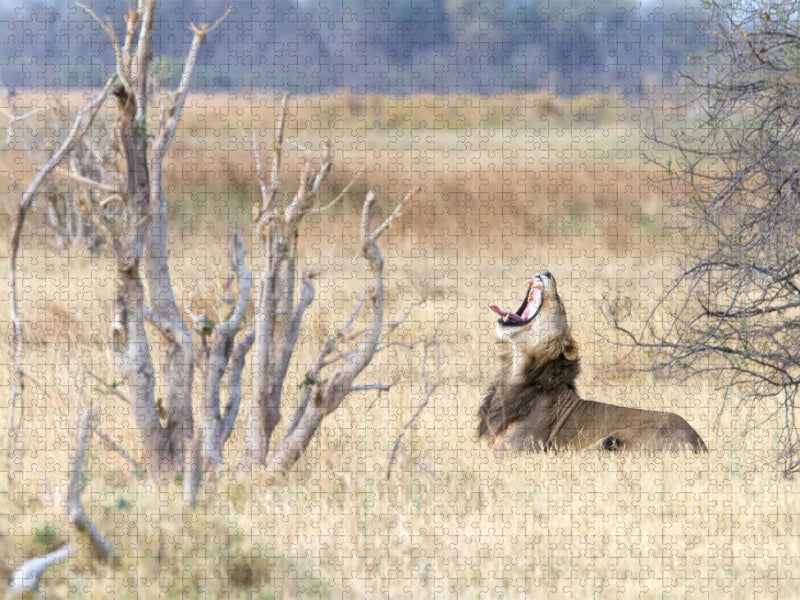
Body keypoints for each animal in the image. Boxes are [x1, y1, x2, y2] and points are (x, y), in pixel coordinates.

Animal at [478, 272, 707, 452]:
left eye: (559, 302)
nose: (547, 272)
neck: (515, 368)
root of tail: (699, 443)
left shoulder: (515, 451)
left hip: (610, 440)